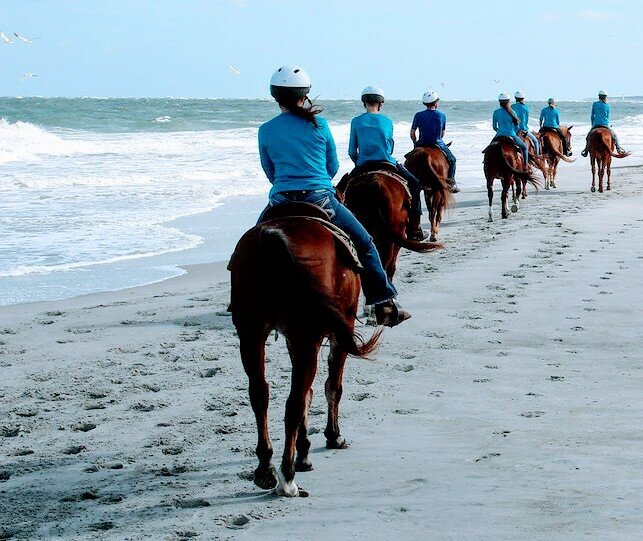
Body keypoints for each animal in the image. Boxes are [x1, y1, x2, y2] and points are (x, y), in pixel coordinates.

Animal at [229, 204, 382, 498]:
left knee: (260, 394)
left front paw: (304, 451)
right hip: (308, 335)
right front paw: (332, 437)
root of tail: (272, 237)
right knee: (294, 401)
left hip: (251, 333)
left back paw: (265, 468)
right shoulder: (337, 331)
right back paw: (287, 477)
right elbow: (332, 386)